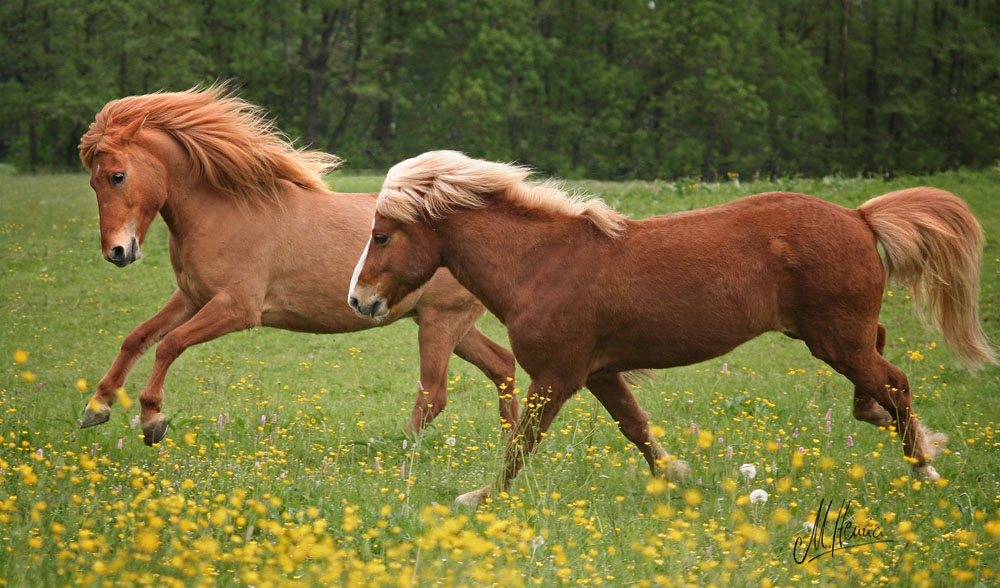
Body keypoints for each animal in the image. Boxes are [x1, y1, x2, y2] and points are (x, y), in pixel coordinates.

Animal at [78, 88, 520, 446]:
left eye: (118, 176)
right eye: (92, 182)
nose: (117, 251)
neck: (224, 210)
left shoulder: (237, 308)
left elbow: (169, 344)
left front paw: (152, 418)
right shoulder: (192, 297)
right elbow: (137, 338)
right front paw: (98, 406)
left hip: (440, 322)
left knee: (435, 393)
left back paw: (402, 450)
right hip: (445, 323)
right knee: (502, 365)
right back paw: (514, 443)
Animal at [350, 149, 992, 504]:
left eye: (381, 236)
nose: (359, 300)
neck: (542, 265)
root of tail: (860, 216)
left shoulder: (555, 377)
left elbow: (520, 445)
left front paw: (477, 497)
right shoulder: (598, 372)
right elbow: (635, 427)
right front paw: (679, 478)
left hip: (834, 338)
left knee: (895, 380)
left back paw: (925, 467)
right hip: (837, 335)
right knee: (881, 366)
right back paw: (885, 423)